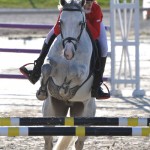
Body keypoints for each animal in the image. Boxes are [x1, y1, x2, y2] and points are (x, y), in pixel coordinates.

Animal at [37, 0, 96, 149]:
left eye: (80, 23)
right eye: (61, 22)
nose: (68, 53)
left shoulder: (83, 72)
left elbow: (74, 72)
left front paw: (64, 90)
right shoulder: (52, 64)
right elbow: (46, 67)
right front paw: (42, 92)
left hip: (85, 116)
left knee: (79, 142)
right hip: (50, 112)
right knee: (48, 139)